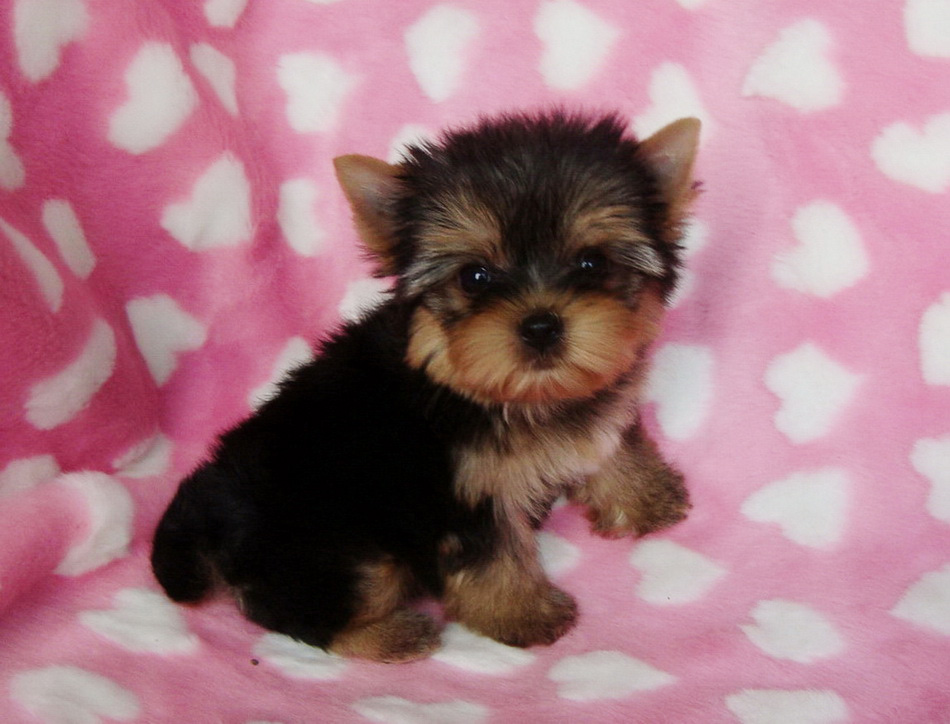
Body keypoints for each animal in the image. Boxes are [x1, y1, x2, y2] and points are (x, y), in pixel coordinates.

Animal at [151, 110, 700, 662]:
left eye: (592, 263)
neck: (513, 395)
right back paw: (388, 634)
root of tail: (208, 517)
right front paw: (523, 613)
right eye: (474, 276)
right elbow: (490, 553)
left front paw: (645, 497)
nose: (541, 326)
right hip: (327, 545)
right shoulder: (459, 493)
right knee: (294, 607)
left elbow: (611, 442)